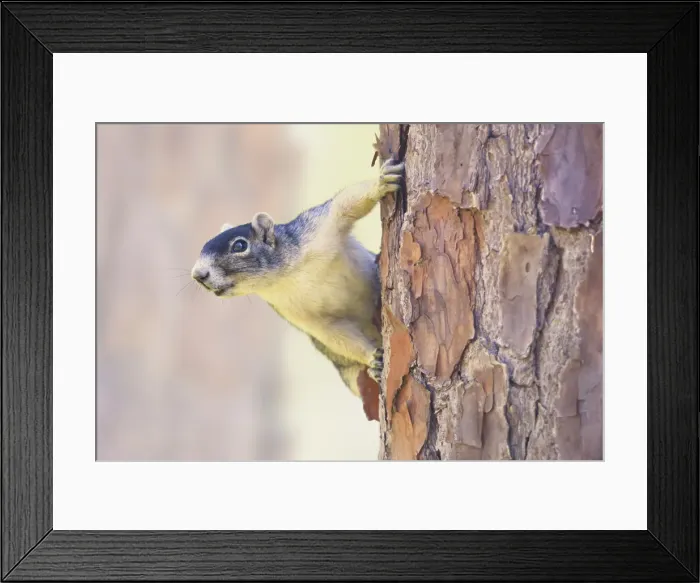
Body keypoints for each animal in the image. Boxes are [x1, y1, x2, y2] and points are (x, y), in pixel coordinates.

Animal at [190, 156, 405, 422]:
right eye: (201, 248)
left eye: (239, 245)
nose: (198, 275)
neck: (285, 277)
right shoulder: (303, 316)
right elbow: (333, 332)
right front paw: (373, 357)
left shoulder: (318, 228)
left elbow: (345, 204)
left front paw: (381, 182)